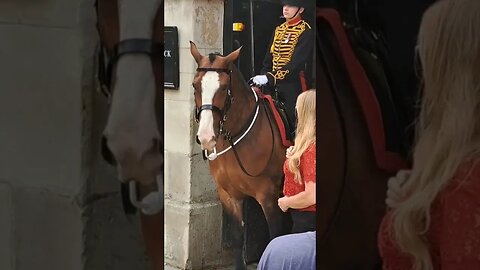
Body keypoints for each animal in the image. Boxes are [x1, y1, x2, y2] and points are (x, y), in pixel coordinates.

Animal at [190, 41, 288, 268]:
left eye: (224, 88)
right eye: (195, 86)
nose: (206, 137)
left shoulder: (269, 196)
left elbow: (275, 238)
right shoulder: (229, 195)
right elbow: (237, 238)